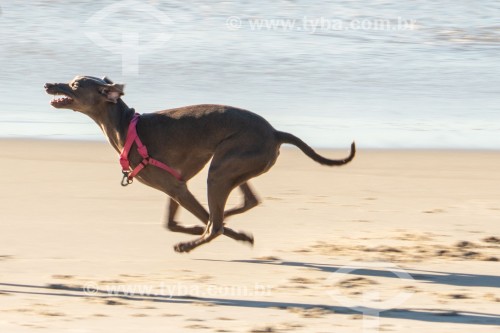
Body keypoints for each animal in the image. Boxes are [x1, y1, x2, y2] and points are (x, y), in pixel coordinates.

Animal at [44, 75, 356, 252]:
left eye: (74, 84)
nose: (47, 84)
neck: (125, 126)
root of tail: (276, 132)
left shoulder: (177, 187)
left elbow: (199, 221)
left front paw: (236, 235)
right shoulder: (176, 186)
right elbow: (171, 222)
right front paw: (202, 227)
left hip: (219, 171)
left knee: (215, 224)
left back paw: (192, 243)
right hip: (229, 167)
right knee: (244, 203)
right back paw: (214, 223)